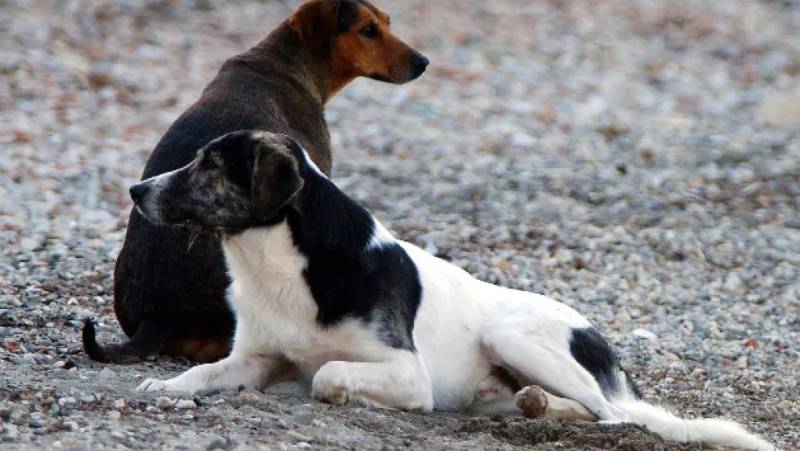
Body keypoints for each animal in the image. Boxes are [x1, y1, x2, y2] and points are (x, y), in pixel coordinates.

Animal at [131, 132, 776, 451]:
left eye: (211, 165)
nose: (136, 190)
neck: (279, 260)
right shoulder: (254, 356)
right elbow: (202, 372)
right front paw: (164, 385)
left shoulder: (407, 371)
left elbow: (329, 373)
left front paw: (348, 396)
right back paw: (536, 408)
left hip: (512, 335)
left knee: (613, 417)